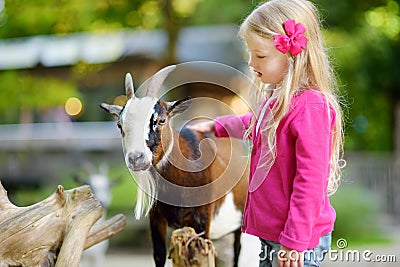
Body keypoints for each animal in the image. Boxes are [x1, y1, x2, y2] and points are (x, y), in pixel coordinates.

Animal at [101, 65, 247, 267]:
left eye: (161, 120)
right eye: (119, 125)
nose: (136, 158)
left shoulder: (202, 219)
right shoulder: (156, 218)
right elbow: (159, 255)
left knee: (237, 251)